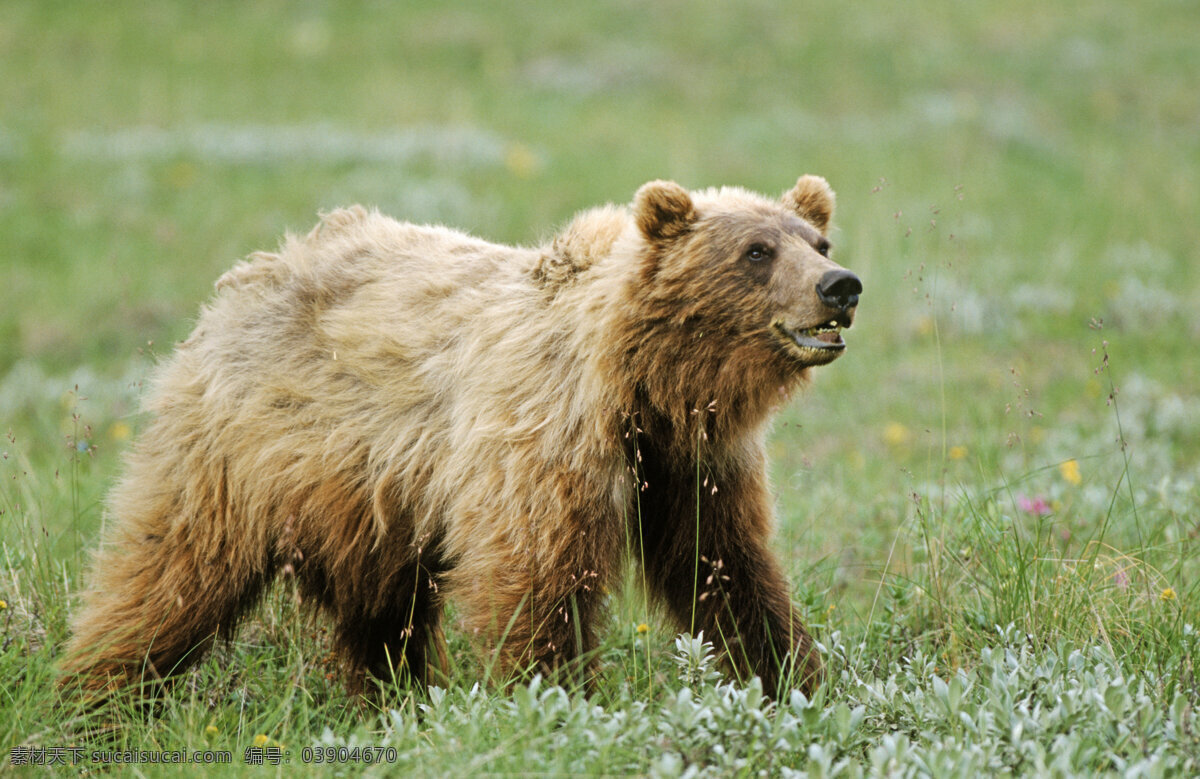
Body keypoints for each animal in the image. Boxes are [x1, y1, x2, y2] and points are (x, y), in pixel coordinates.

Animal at [60, 176, 864, 700]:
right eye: (757, 250)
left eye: (818, 239)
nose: (841, 286)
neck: (643, 383)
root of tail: (252, 272)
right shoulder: (542, 434)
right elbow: (538, 572)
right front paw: (551, 694)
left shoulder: (691, 461)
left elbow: (725, 564)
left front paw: (789, 676)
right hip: (243, 446)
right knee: (171, 568)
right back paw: (97, 690)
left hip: (370, 496)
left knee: (382, 610)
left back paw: (391, 694)